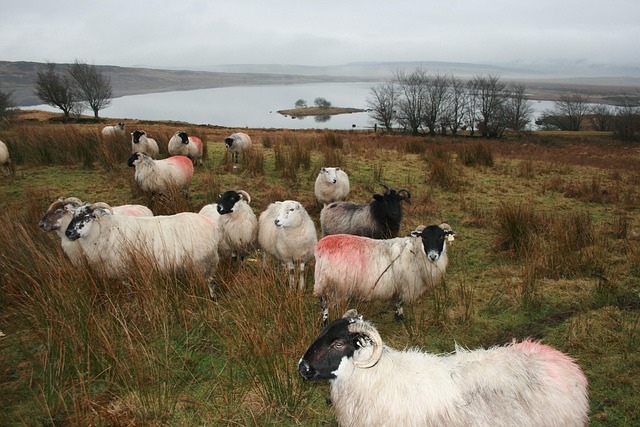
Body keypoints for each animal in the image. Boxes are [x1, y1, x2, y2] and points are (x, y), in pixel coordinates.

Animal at [65, 202, 219, 298]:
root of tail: (210, 224)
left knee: (211, 283)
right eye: (73, 216)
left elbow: (129, 289)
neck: (105, 230)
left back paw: (212, 298)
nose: (68, 233)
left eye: (87, 216)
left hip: (203, 264)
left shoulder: (124, 269)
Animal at [313, 223, 455, 322]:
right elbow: (400, 302)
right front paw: (399, 317)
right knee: (325, 304)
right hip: (332, 284)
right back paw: (326, 321)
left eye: (441, 236)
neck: (416, 252)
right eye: (424, 237)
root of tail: (321, 246)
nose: (433, 256)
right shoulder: (406, 283)